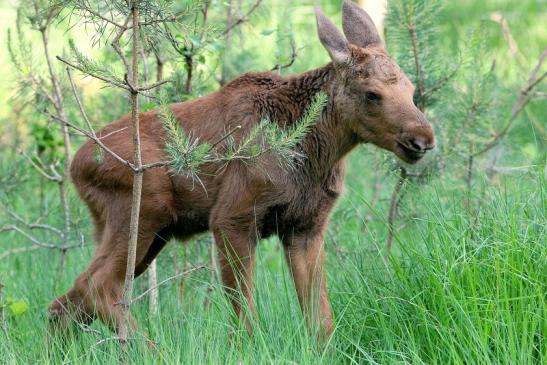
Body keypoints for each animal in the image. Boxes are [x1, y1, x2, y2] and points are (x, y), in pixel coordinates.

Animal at [50, 0, 436, 338]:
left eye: (411, 88)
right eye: (372, 94)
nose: (423, 139)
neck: (316, 154)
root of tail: (75, 166)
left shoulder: (305, 226)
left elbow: (320, 322)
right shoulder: (231, 218)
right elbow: (246, 320)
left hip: (144, 233)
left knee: (66, 301)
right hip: (145, 207)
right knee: (96, 287)